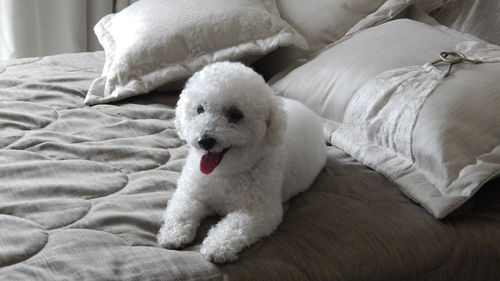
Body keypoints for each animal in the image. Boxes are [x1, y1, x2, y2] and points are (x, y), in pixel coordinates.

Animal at [158, 61, 326, 262]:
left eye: (236, 114)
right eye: (200, 110)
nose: (205, 141)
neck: (225, 172)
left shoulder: (259, 211)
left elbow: (234, 227)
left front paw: (217, 246)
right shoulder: (190, 193)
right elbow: (181, 211)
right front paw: (172, 235)